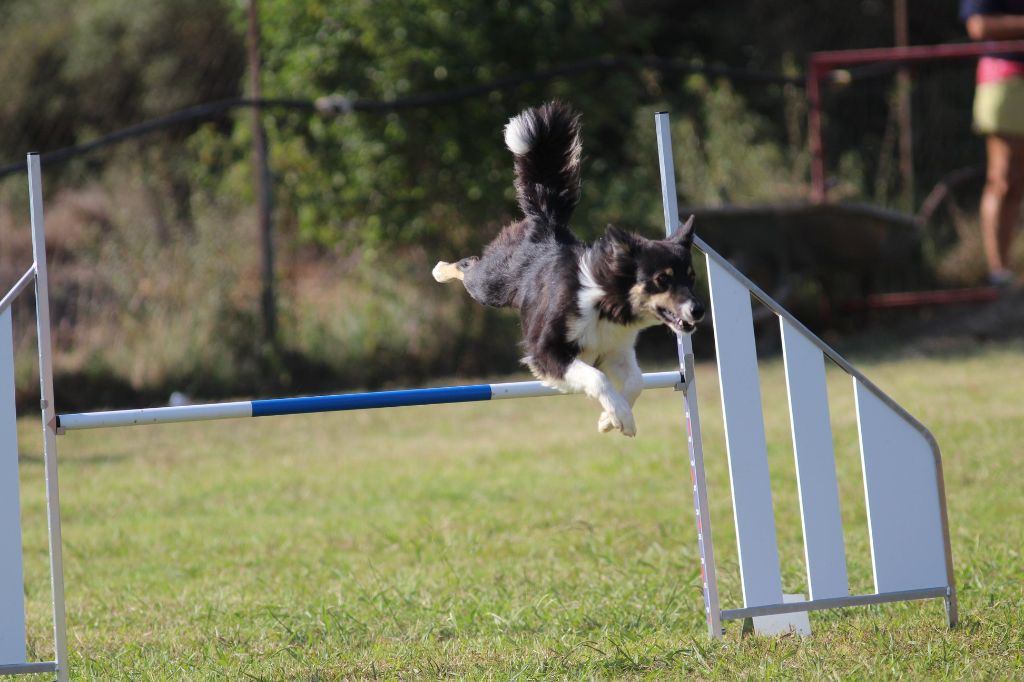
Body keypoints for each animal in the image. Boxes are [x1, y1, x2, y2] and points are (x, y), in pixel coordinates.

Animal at [432, 99, 704, 436]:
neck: (605, 298)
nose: (698, 310)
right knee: (468, 266)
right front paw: (620, 416)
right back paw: (440, 269)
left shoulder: (615, 350)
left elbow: (636, 381)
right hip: (490, 285)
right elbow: (597, 378)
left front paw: (610, 419)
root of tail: (547, 223)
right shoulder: (545, 351)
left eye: (691, 278)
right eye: (662, 280)